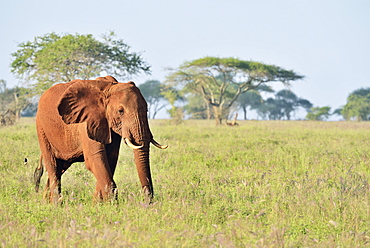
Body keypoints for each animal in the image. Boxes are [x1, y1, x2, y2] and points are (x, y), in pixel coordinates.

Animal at [34, 76, 167, 203]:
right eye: (120, 111)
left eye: (147, 109)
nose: (148, 202)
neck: (109, 88)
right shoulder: (86, 123)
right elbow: (96, 159)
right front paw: (112, 205)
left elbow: (110, 159)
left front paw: (98, 204)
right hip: (41, 128)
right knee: (53, 166)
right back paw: (56, 204)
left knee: (60, 168)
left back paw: (46, 202)